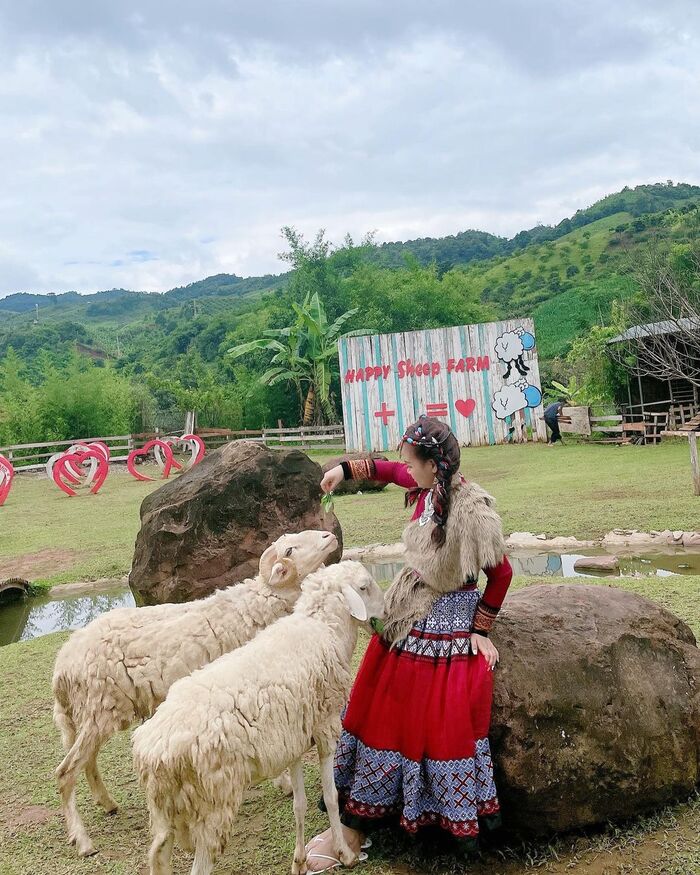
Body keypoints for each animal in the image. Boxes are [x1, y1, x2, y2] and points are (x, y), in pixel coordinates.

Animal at [52, 532, 336, 860]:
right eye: (289, 550)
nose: (329, 536)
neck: (256, 606)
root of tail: (62, 664)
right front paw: (284, 782)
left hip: (96, 712)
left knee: (87, 762)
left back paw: (108, 804)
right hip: (98, 709)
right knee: (66, 772)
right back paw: (82, 840)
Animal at [131, 560, 382, 875]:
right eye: (363, 587)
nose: (386, 614)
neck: (323, 627)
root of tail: (156, 748)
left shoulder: (295, 740)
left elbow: (299, 804)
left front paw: (299, 861)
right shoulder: (325, 728)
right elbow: (331, 797)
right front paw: (344, 853)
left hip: (165, 808)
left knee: (158, 854)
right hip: (214, 803)